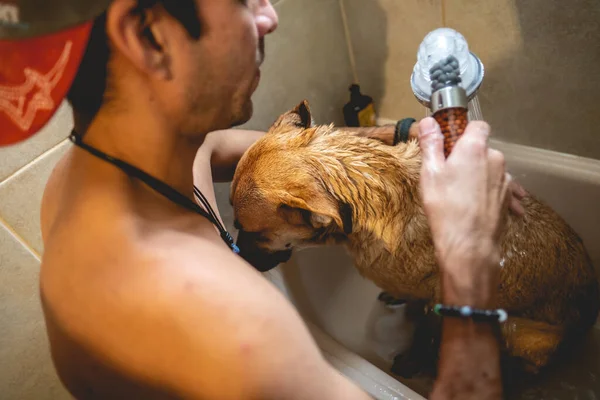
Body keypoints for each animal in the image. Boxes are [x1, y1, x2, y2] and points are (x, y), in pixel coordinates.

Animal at [231, 100, 600, 376]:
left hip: (520, 332)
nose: (235, 255)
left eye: (251, 231)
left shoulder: (439, 301)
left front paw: (414, 360)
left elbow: (426, 334)